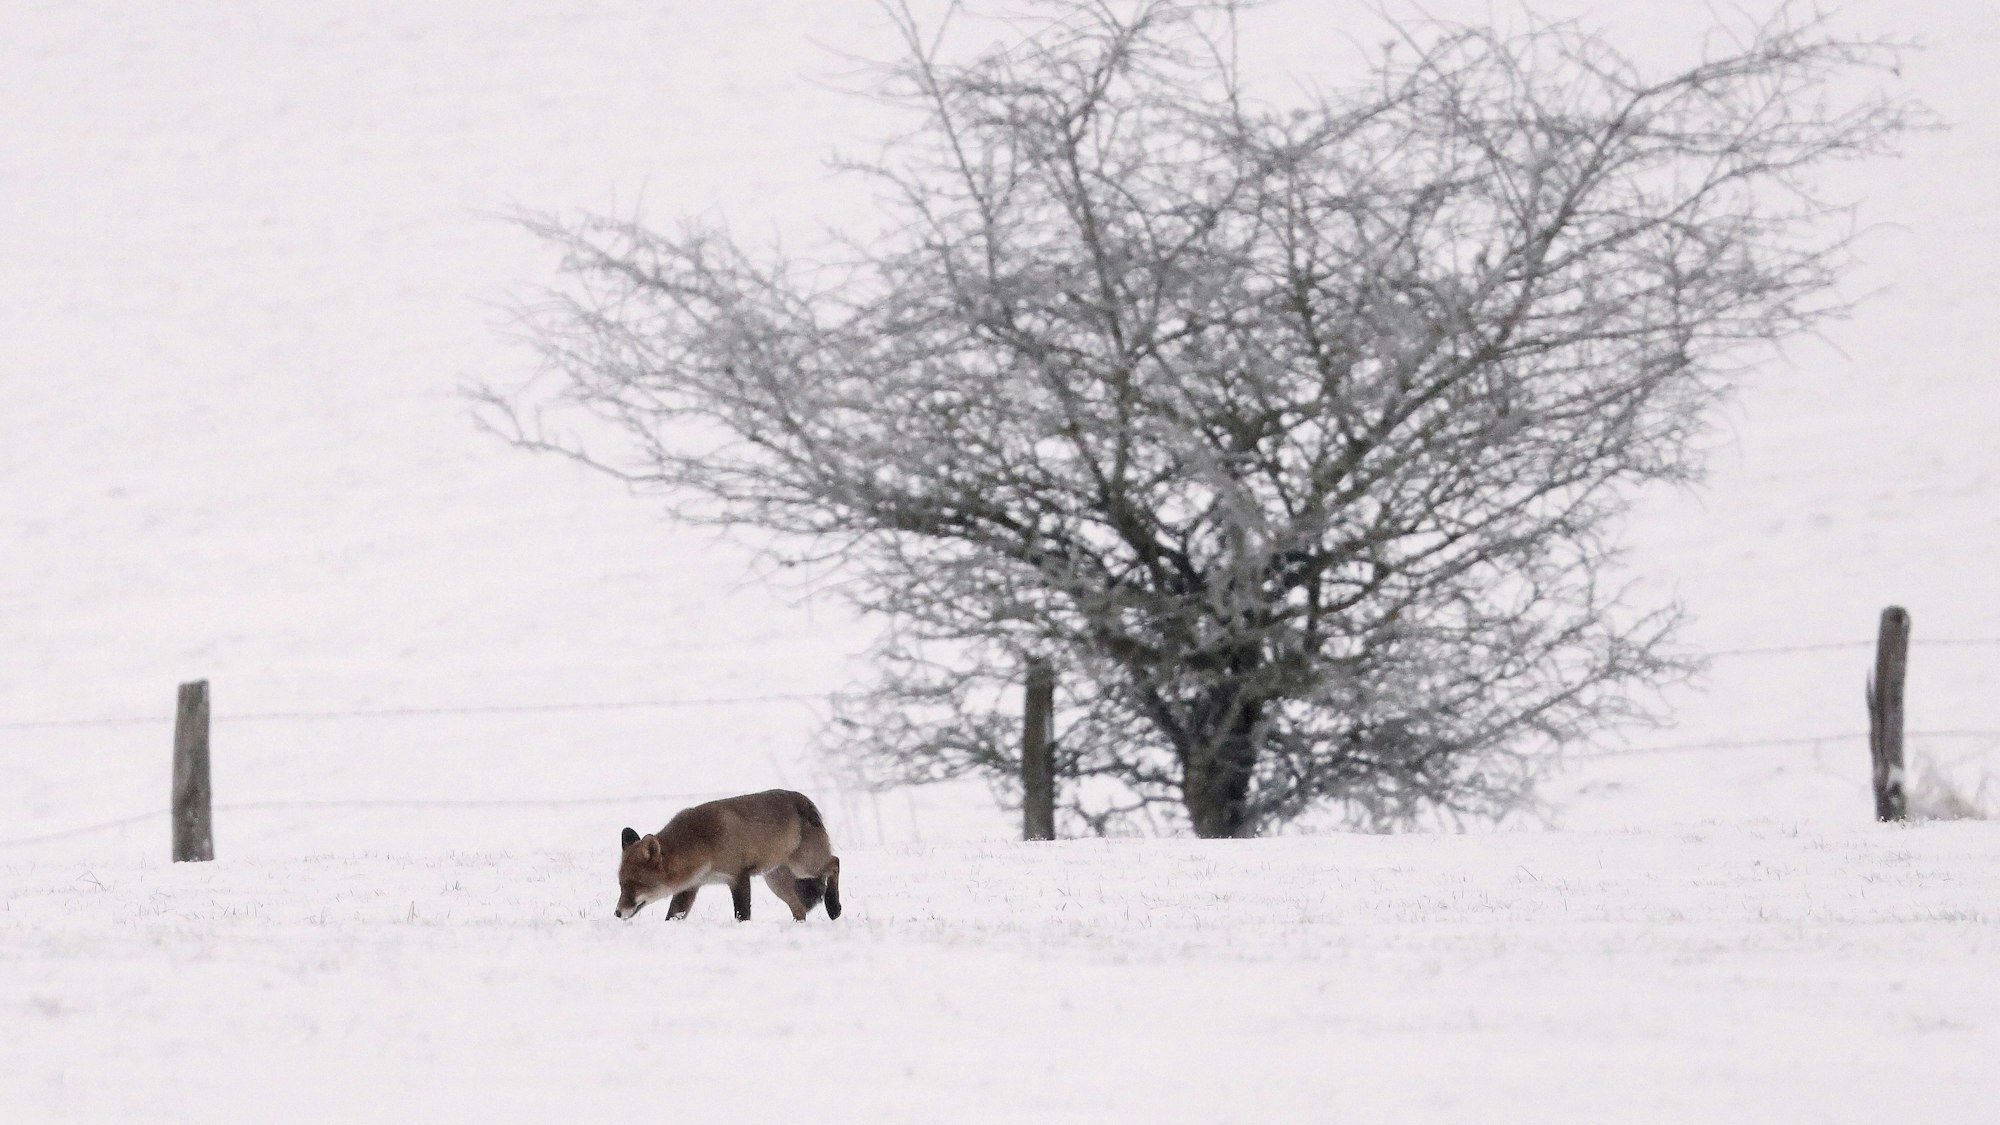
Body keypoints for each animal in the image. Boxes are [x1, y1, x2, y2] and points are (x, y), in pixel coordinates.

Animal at [615, 789, 842, 923]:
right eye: (621, 885)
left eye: (636, 885)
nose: (617, 912)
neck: (703, 844)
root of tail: (804, 800)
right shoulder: (690, 886)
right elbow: (673, 916)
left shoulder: (738, 876)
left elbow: (742, 914)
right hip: (776, 881)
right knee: (800, 909)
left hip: (804, 866)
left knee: (835, 862)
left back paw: (833, 907)